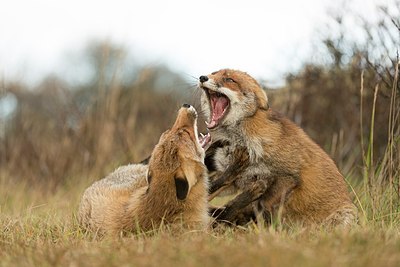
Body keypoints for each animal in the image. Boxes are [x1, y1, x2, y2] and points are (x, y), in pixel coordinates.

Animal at [198, 69, 358, 228]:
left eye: (229, 79)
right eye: (213, 73)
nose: (202, 77)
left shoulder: (287, 177)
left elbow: (258, 204)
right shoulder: (235, 179)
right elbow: (216, 189)